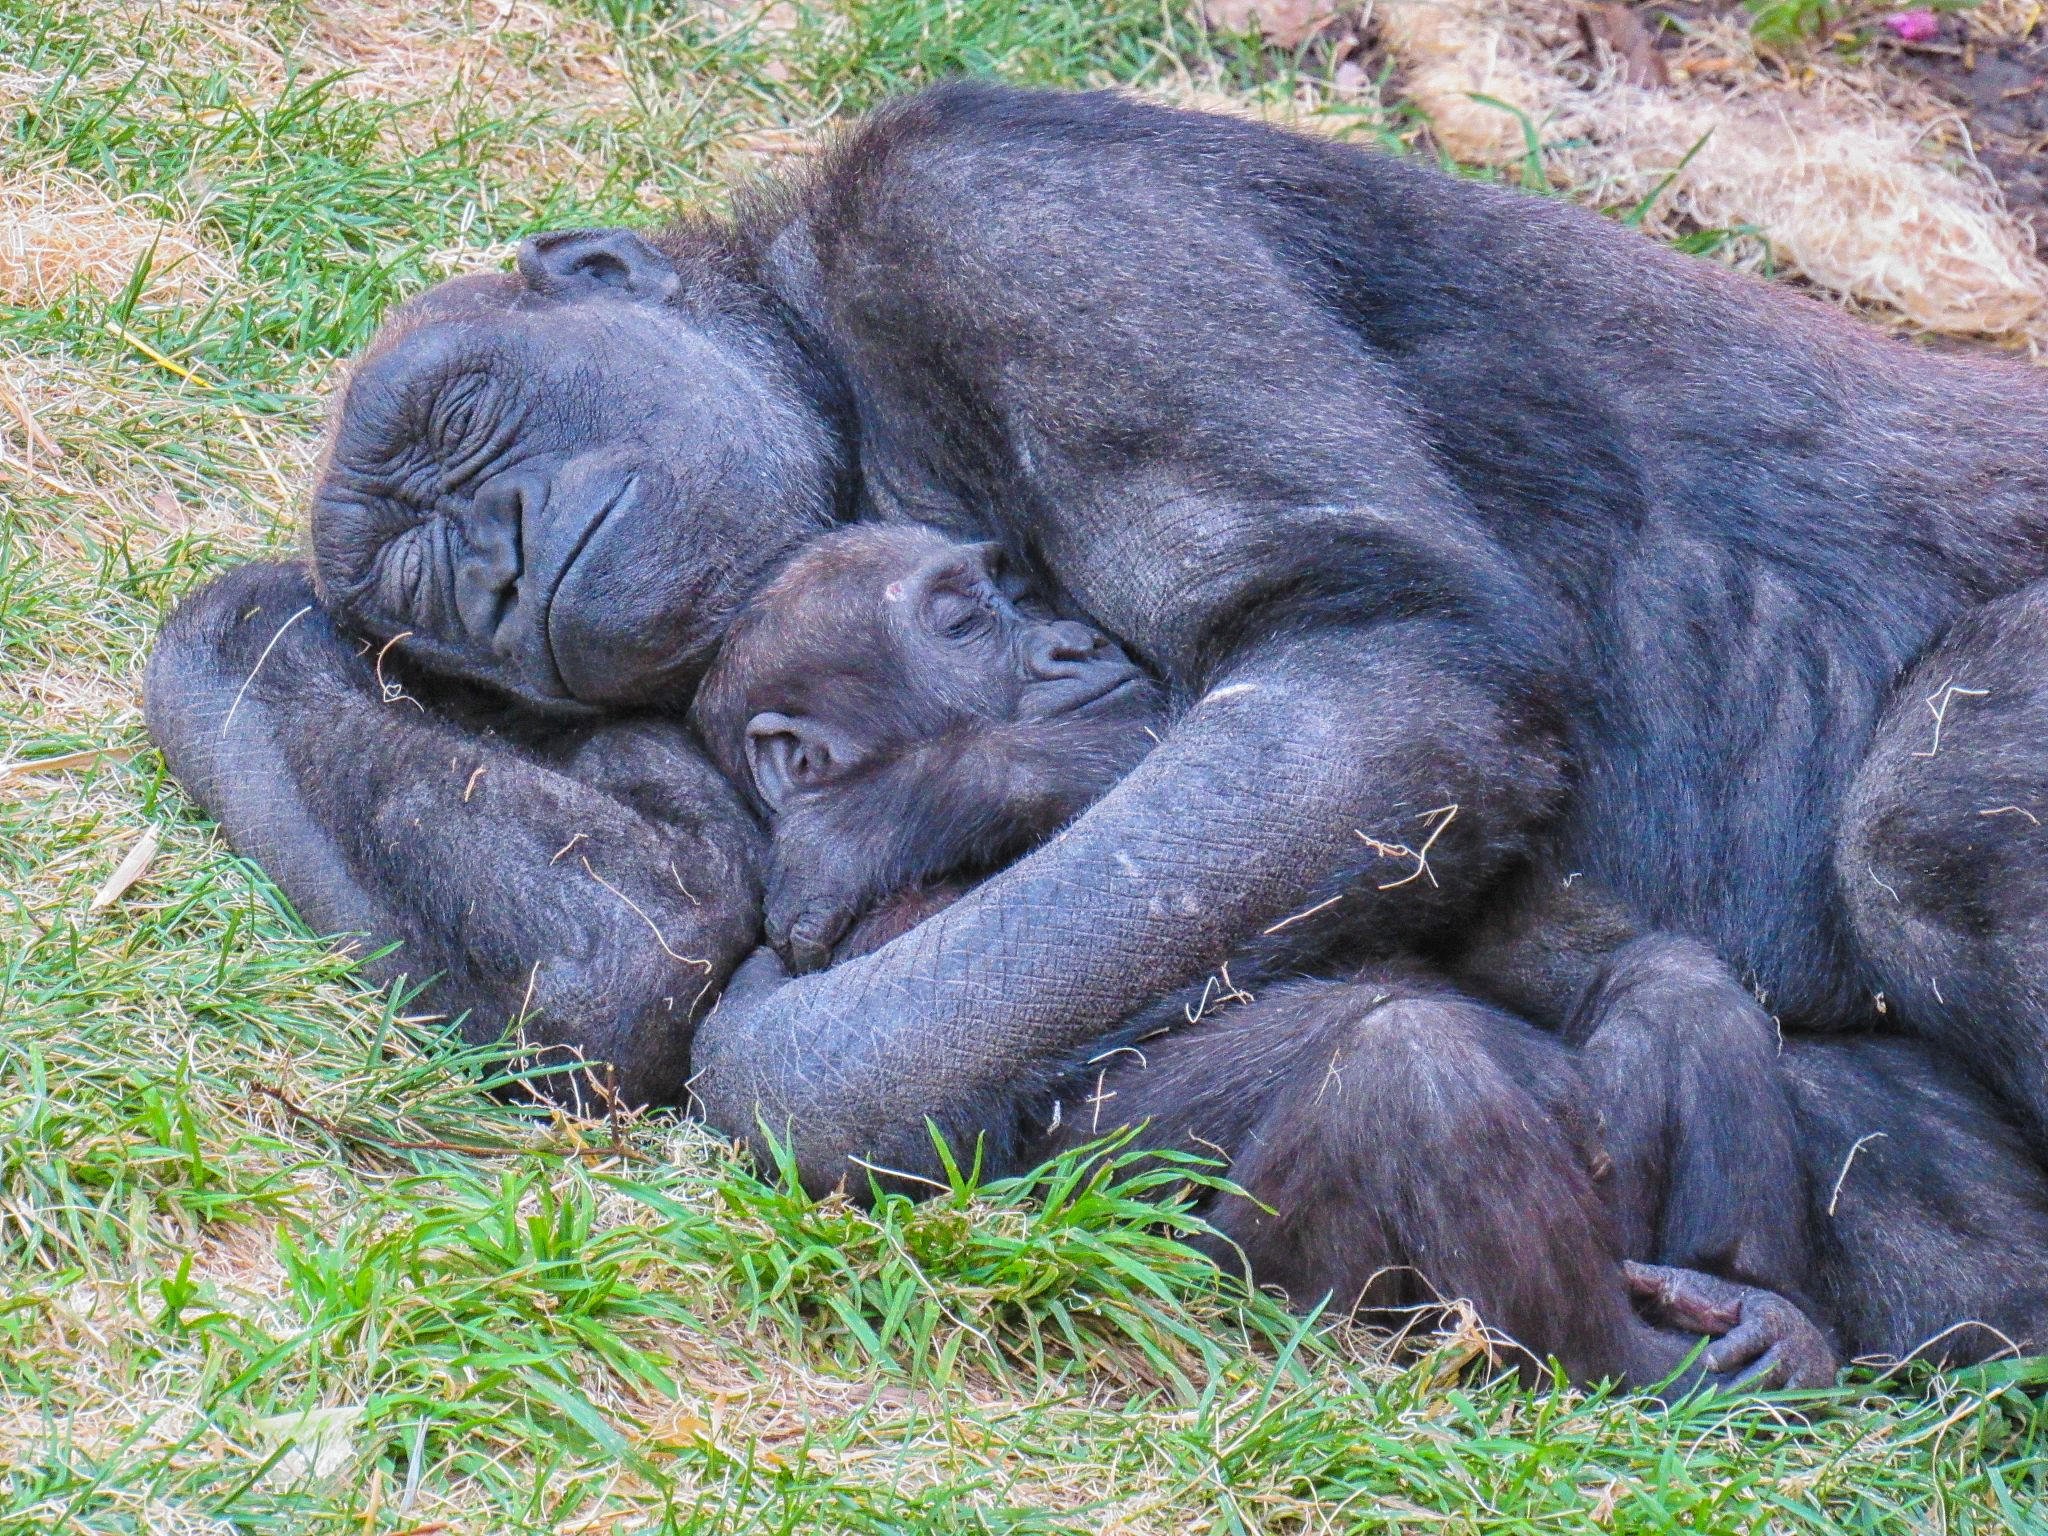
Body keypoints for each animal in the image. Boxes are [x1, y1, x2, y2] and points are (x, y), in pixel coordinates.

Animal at [151, 83, 2048, 1236]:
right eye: (411, 590)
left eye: (461, 427)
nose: (480, 561)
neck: (824, 362)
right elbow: (622, 953)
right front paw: (228, 638)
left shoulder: (999, 215)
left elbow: (1378, 670)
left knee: (1925, 815)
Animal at [696, 528, 2048, 1392]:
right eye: (965, 618)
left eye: (1007, 595)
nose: (1073, 641)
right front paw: (899, 808)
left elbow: (1381, 789)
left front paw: (907, 802)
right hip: (1283, 1295)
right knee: (1412, 1077)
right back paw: (1635, 1370)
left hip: (1619, 1222)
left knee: (1668, 996)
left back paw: (1764, 1317)